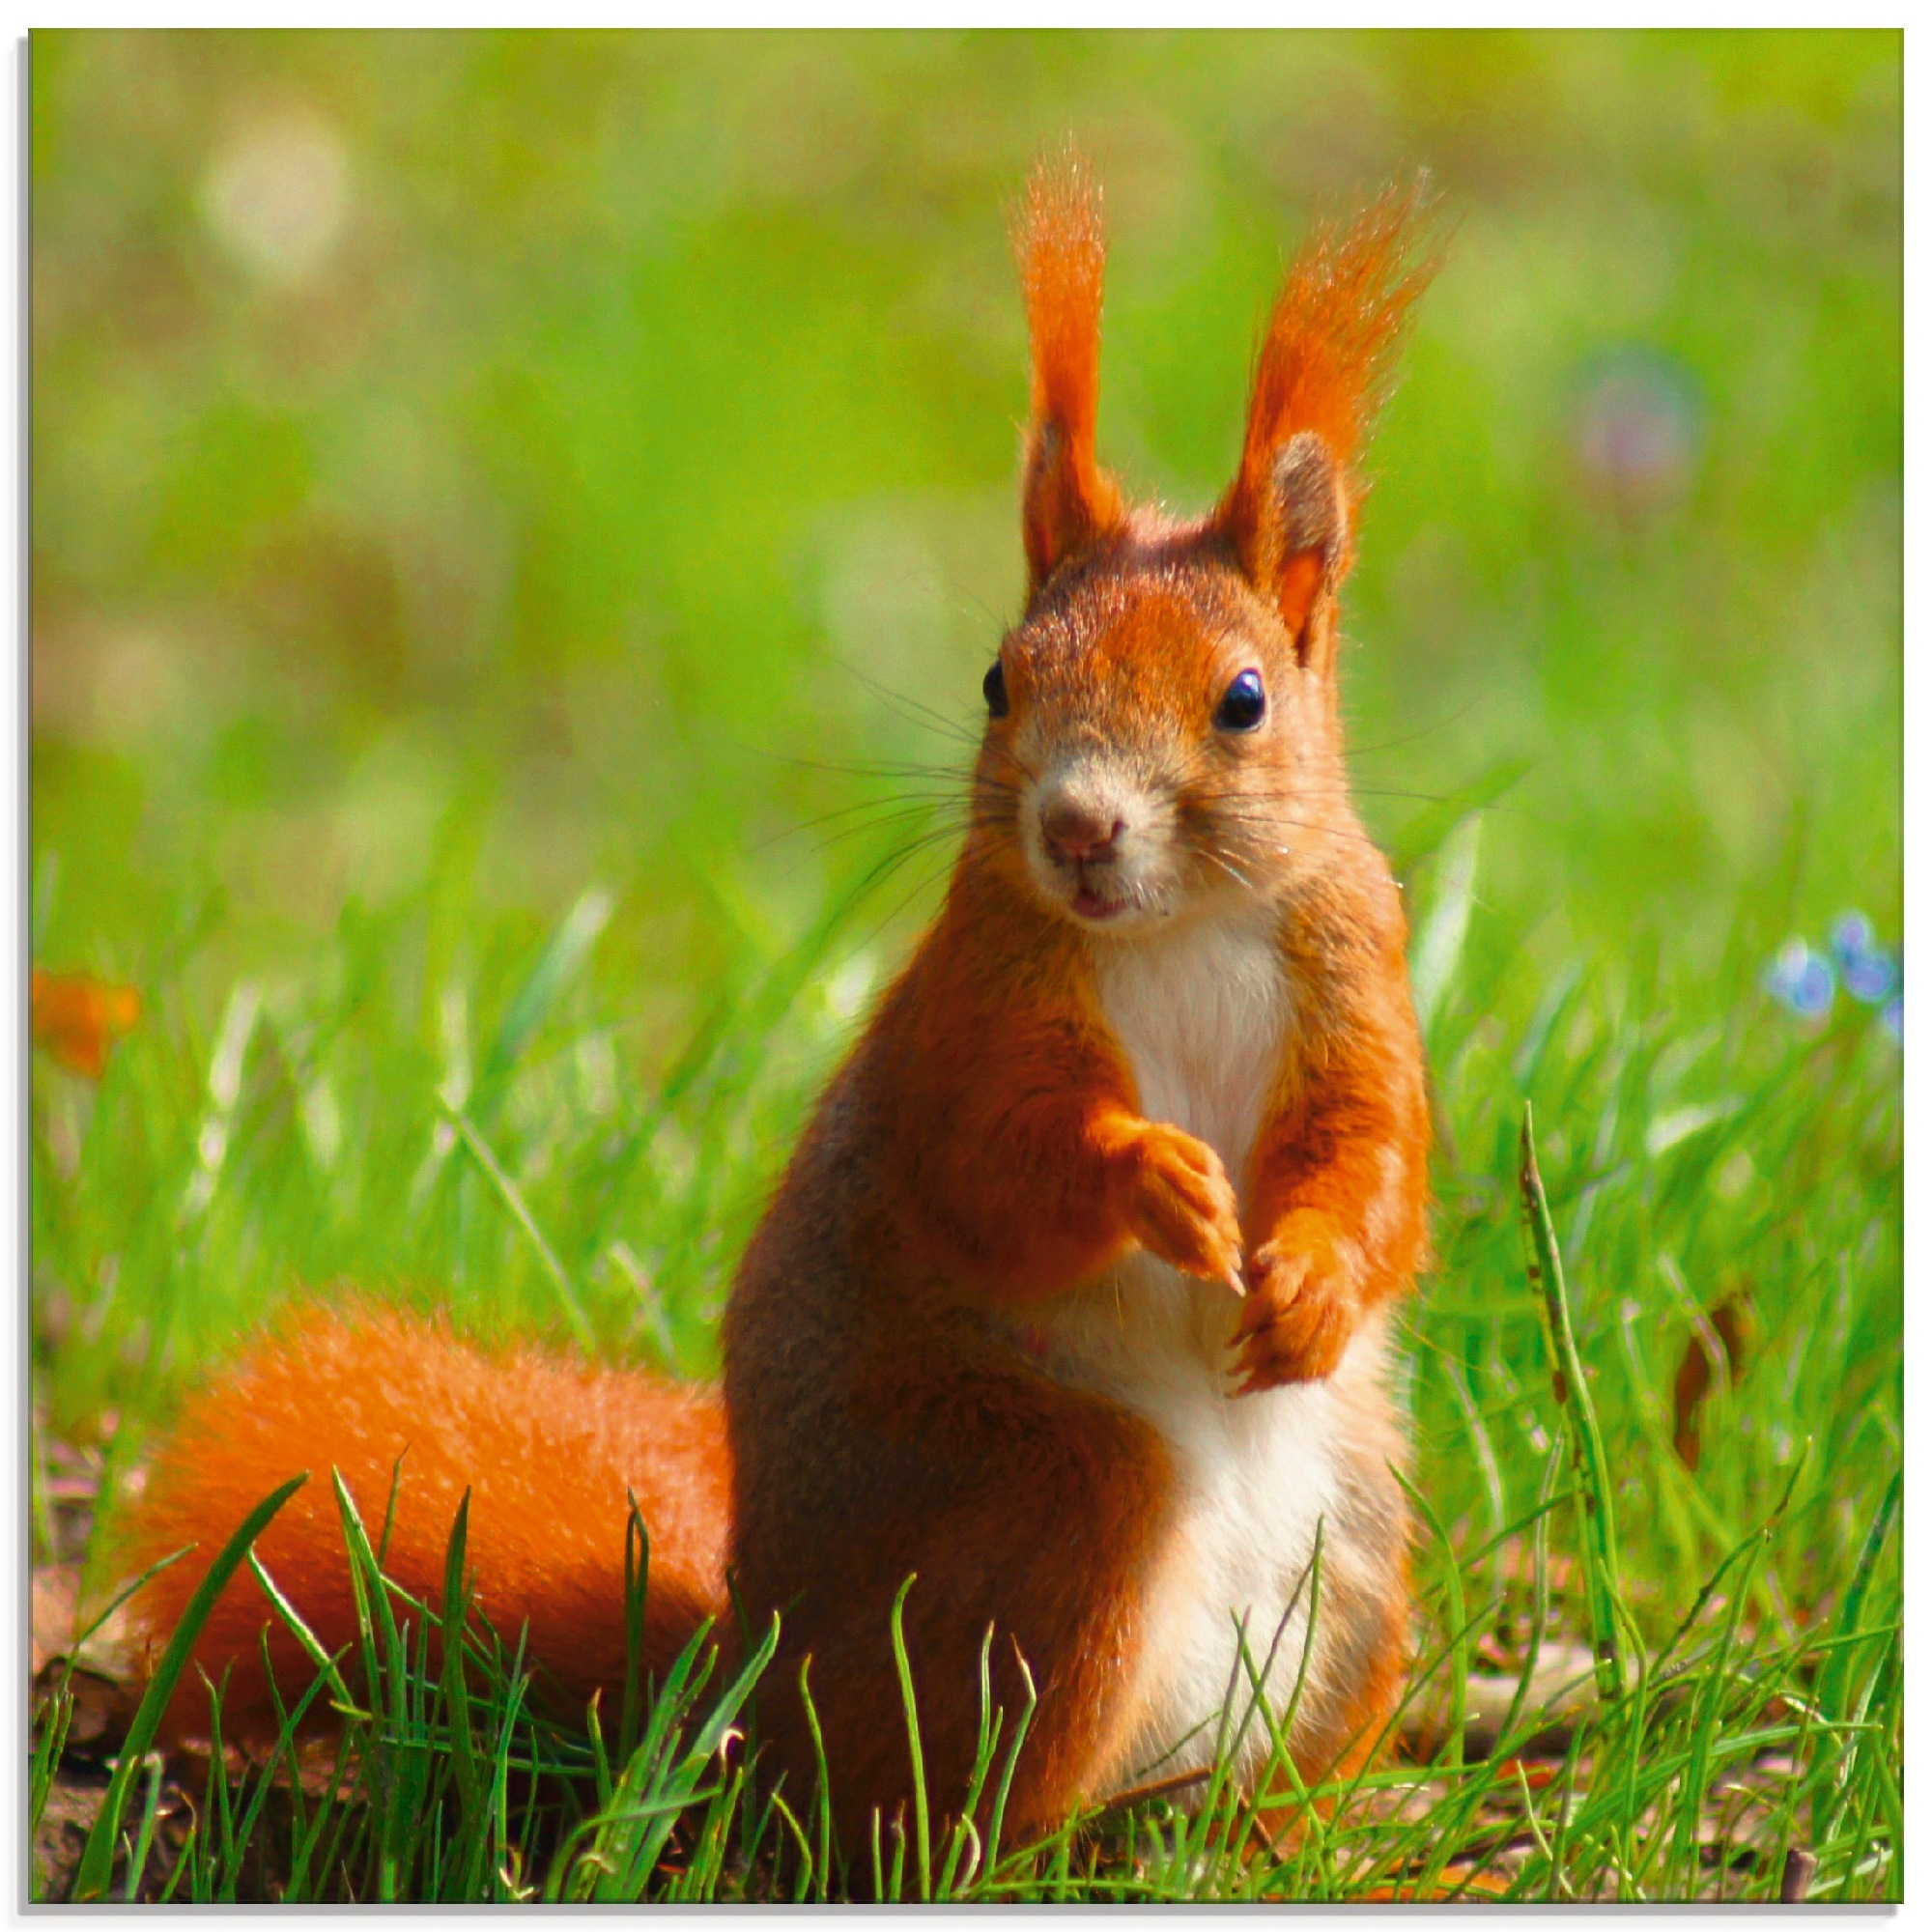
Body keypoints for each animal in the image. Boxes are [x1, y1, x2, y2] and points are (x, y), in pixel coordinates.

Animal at [123, 154, 1438, 1861]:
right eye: (1003, 680)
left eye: (1244, 701)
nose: (1078, 830)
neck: (1184, 927)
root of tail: (743, 1687)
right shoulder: (972, 1013)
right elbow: (990, 1164)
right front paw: (1152, 1177)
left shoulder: (1356, 978)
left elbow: (1377, 1163)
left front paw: (1315, 1281)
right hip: (1047, 1505)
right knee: (930, 1788)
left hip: (1359, 1558)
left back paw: (1277, 1831)